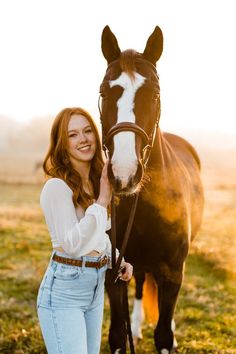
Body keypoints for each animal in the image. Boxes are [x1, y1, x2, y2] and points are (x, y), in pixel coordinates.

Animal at [98, 26, 204, 352]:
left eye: (155, 94)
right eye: (104, 92)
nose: (124, 173)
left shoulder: (172, 273)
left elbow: (164, 336)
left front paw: (169, 331)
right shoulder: (114, 274)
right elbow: (117, 336)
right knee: (141, 284)